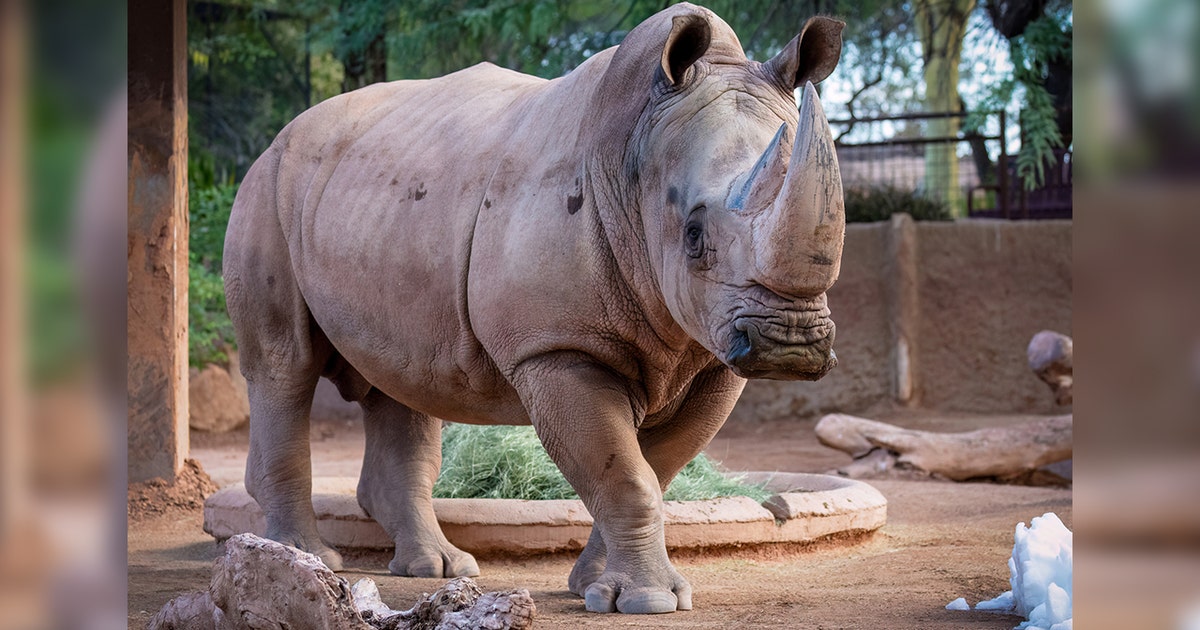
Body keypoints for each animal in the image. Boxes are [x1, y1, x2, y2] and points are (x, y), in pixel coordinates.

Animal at [223, 3, 845, 615]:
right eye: (693, 236)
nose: (790, 344)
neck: (635, 156)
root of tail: (283, 135)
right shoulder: (557, 347)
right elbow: (628, 476)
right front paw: (646, 601)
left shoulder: (712, 355)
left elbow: (653, 470)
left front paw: (595, 587)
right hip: (266, 187)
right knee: (285, 366)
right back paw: (307, 557)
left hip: (376, 198)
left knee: (401, 379)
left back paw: (438, 568)